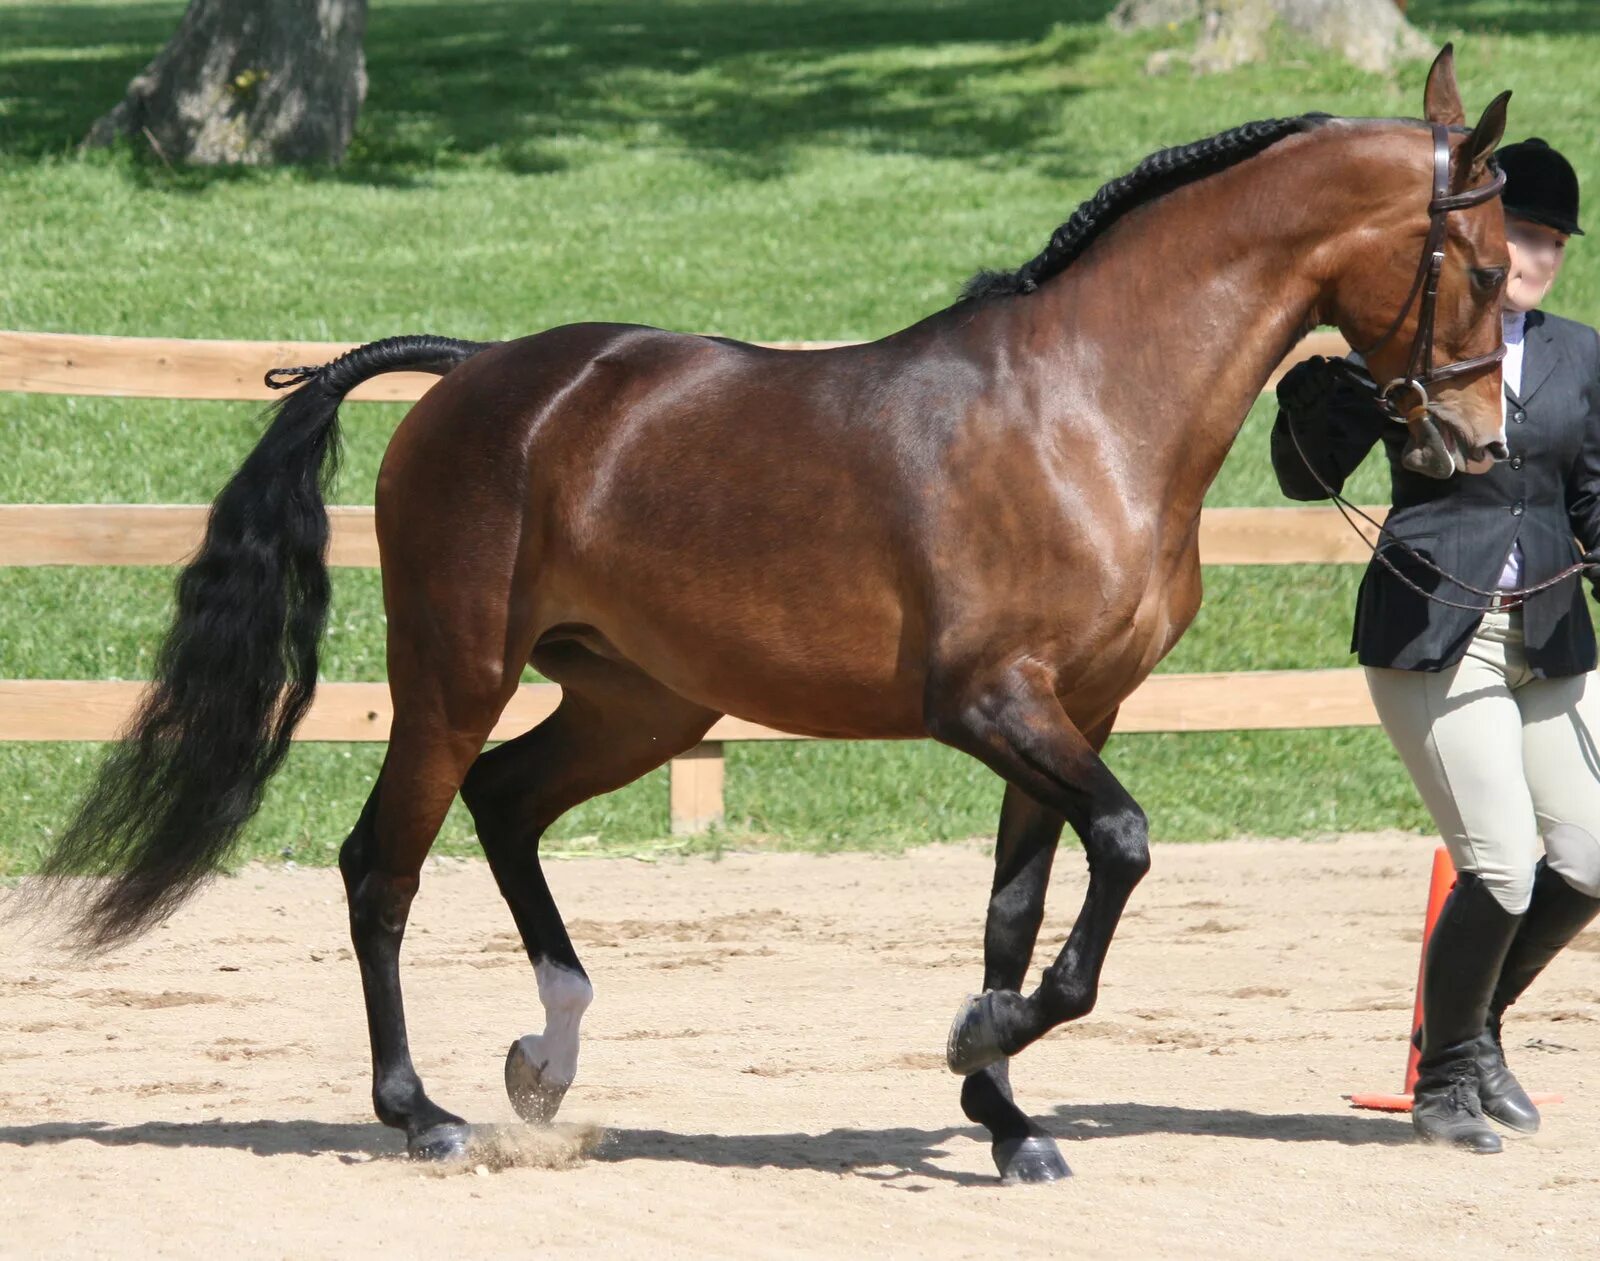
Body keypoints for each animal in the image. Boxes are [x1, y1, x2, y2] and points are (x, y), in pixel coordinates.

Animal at [37, 46, 1510, 1184]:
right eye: (1489, 271)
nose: (1475, 445)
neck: (1086, 404)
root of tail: (474, 375)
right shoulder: (991, 704)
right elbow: (1125, 849)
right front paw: (980, 1045)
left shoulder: (1073, 713)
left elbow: (1019, 912)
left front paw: (1003, 1111)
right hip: (455, 678)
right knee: (379, 866)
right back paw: (426, 1116)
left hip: (640, 698)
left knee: (507, 802)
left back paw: (545, 1056)